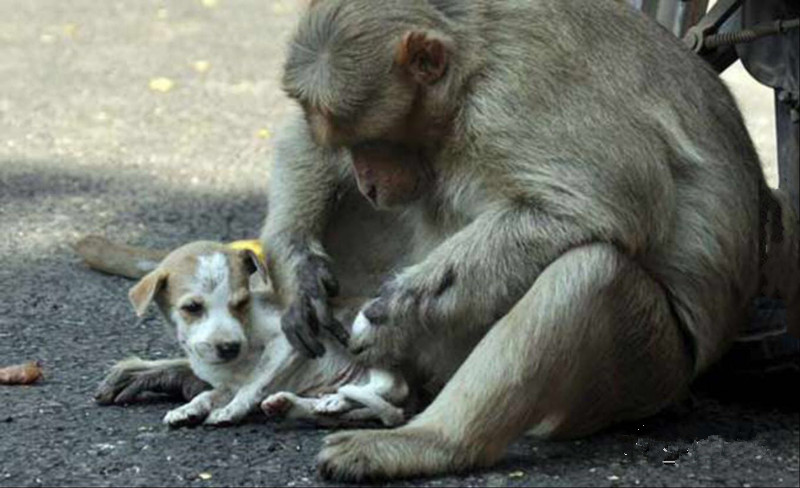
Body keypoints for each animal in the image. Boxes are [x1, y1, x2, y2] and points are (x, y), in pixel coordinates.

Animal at [122, 240, 410, 428]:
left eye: (241, 302)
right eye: (192, 307)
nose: (230, 347)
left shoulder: (286, 341)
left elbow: (254, 382)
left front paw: (231, 410)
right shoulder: (227, 384)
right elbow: (208, 394)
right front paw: (188, 409)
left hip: (362, 331)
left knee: (392, 386)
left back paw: (335, 400)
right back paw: (302, 403)